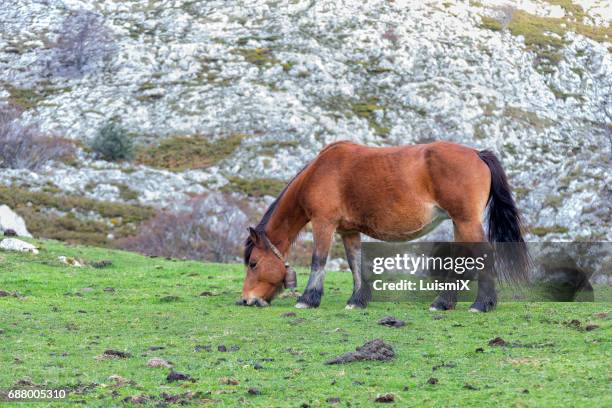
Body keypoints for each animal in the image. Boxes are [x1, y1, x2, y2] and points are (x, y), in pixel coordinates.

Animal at [238, 141, 524, 312]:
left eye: (253, 263)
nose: (246, 299)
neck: (320, 172)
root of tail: (477, 154)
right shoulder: (348, 231)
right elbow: (355, 263)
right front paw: (357, 300)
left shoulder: (324, 224)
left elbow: (318, 260)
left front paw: (308, 299)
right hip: (459, 222)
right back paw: (444, 302)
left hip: (465, 221)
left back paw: (481, 303)